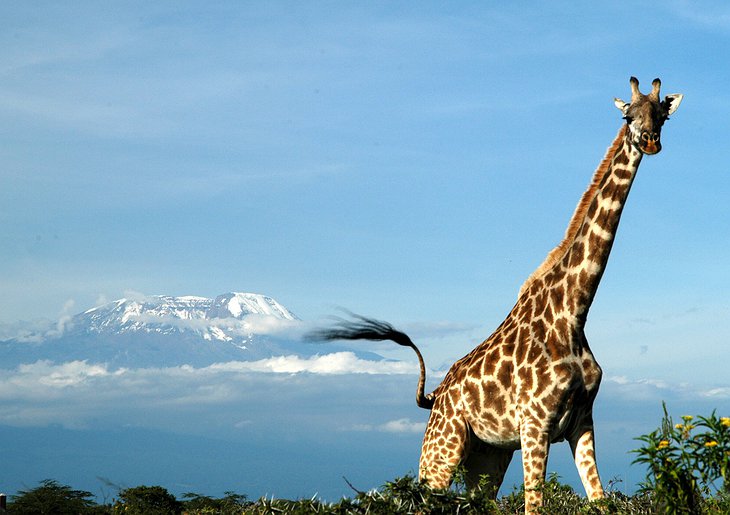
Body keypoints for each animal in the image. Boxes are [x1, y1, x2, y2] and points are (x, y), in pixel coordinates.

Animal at [310, 77, 680, 515]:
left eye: (662, 115)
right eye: (627, 116)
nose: (650, 141)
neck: (574, 312)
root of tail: (434, 396)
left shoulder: (582, 422)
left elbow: (599, 499)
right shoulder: (535, 424)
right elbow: (535, 504)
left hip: (488, 454)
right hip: (443, 447)